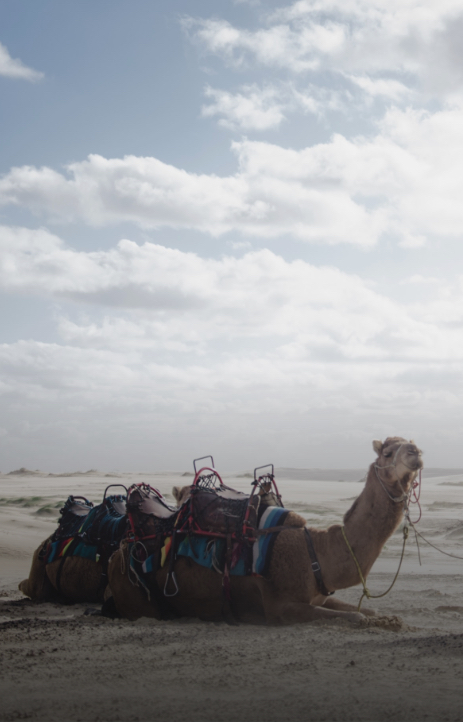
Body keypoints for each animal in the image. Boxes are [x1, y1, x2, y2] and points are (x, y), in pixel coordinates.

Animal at [108, 437, 423, 624]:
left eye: (411, 444)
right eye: (387, 452)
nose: (416, 452)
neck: (316, 552)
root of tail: (116, 555)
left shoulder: (321, 595)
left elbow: (368, 610)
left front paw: (389, 620)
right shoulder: (280, 607)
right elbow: (358, 618)